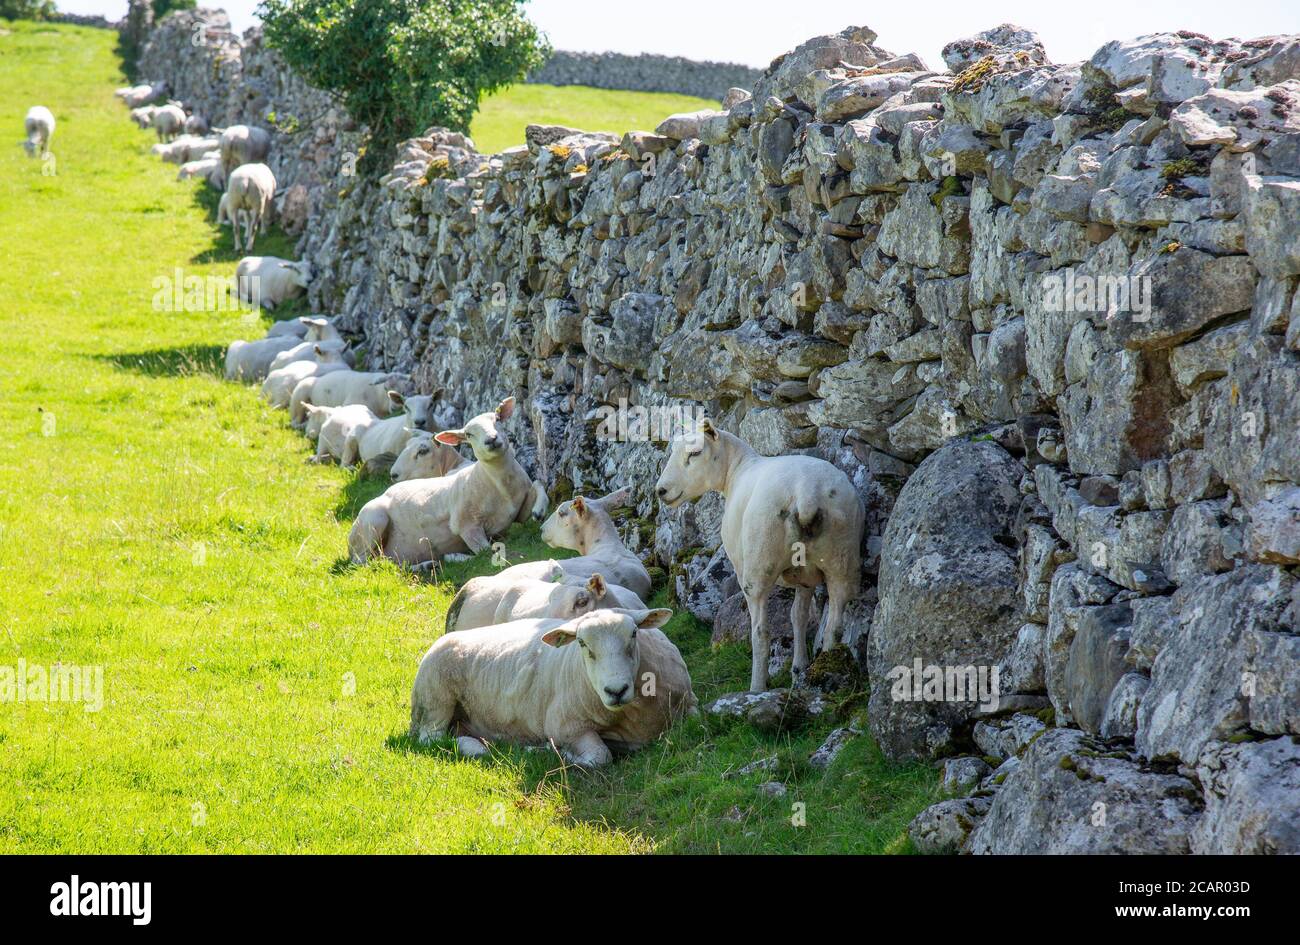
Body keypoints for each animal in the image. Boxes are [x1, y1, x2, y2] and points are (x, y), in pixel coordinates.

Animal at [345, 397, 548, 569]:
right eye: (468, 434)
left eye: (497, 419)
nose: (491, 439)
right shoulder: (466, 526)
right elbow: (486, 552)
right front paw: (455, 556)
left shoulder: (518, 512)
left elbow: (538, 484)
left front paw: (540, 510)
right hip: (373, 521)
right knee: (365, 563)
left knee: (389, 562)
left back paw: (425, 566)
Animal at [408, 605, 696, 769]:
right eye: (581, 643)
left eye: (634, 633)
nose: (616, 690)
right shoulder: (565, 727)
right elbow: (599, 758)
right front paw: (553, 752)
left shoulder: (690, 704)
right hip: (435, 699)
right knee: (432, 739)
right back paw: (476, 747)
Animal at [660, 421, 863, 696]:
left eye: (695, 453)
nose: (660, 491)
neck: (735, 471)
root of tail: (807, 494)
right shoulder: (805, 576)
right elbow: (798, 616)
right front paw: (799, 668)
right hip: (842, 555)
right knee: (835, 626)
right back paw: (827, 668)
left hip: (758, 563)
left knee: (760, 632)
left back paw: (756, 687)